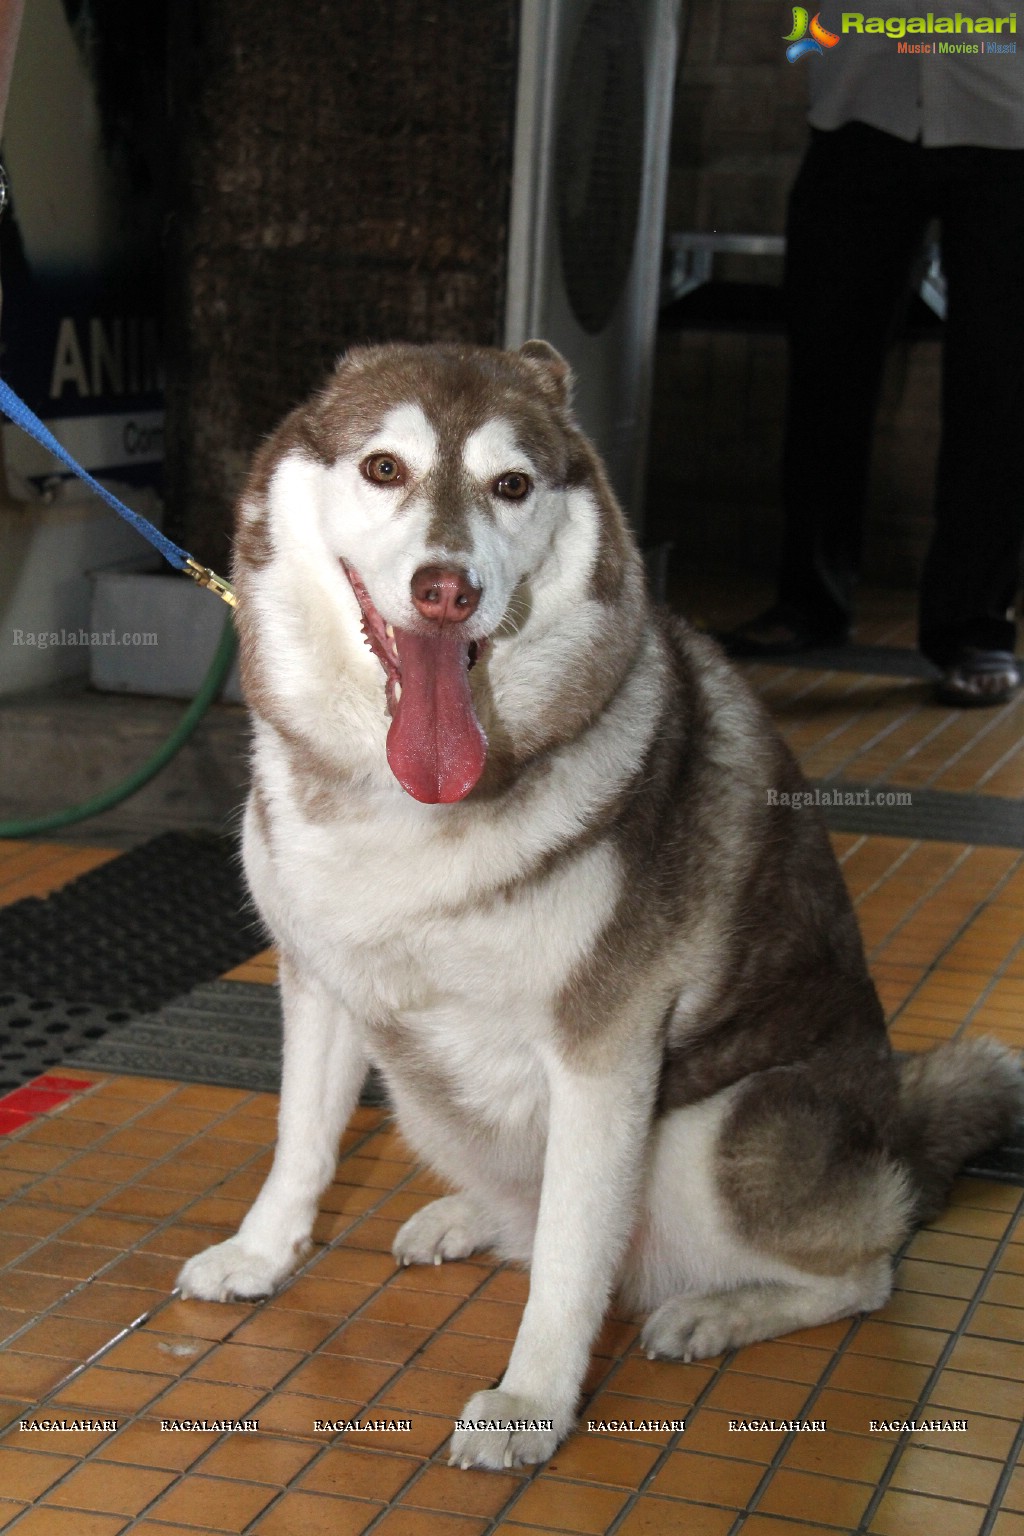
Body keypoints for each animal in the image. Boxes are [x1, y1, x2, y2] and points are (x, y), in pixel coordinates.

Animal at [178, 342, 1024, 1468]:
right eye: (383, 468)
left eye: (511, 485)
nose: (446, 591)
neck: (405, 804)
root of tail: (900, 1139)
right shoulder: (321, 981)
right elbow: (300, 1144)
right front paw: (262, 1253)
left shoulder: (602, 1051)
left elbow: (573, 1262)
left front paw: (531, 1402)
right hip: (426, 1098)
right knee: (526, 1207)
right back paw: (466, 1219)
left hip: (714, 1139)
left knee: (863, 1270)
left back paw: (719, 1309)